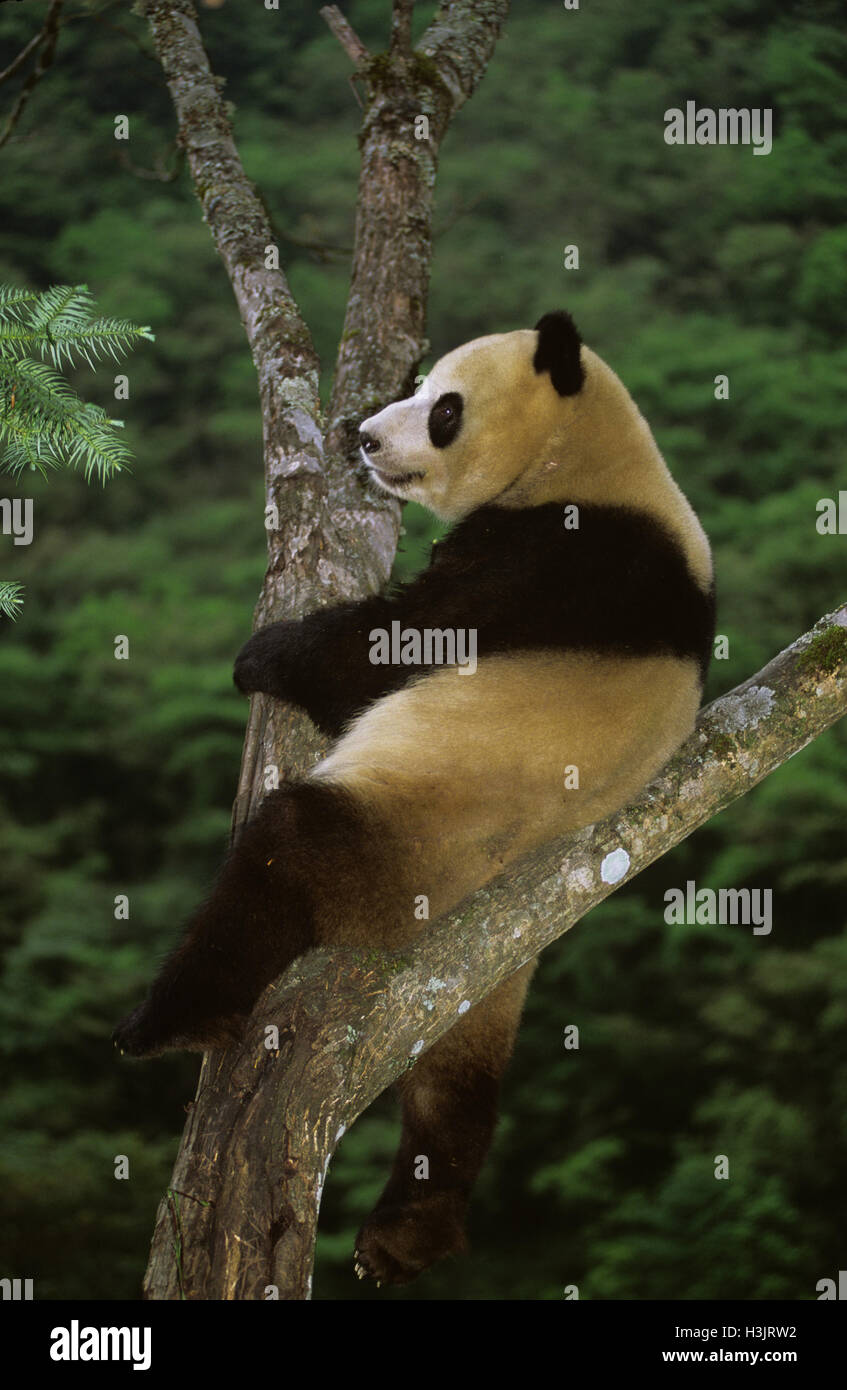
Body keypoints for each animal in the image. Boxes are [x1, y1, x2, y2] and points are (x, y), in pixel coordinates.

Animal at [113, 310, 714, 1286]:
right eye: (414, 382)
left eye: (443, 408)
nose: (362, 438)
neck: (588, 454)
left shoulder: (557, 553)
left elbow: (389, 645)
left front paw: (263, 654)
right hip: (483, 967)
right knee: (456, 1080)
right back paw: (409, 1237)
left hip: (404, 847)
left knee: (286, 853)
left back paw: (172, 1018)